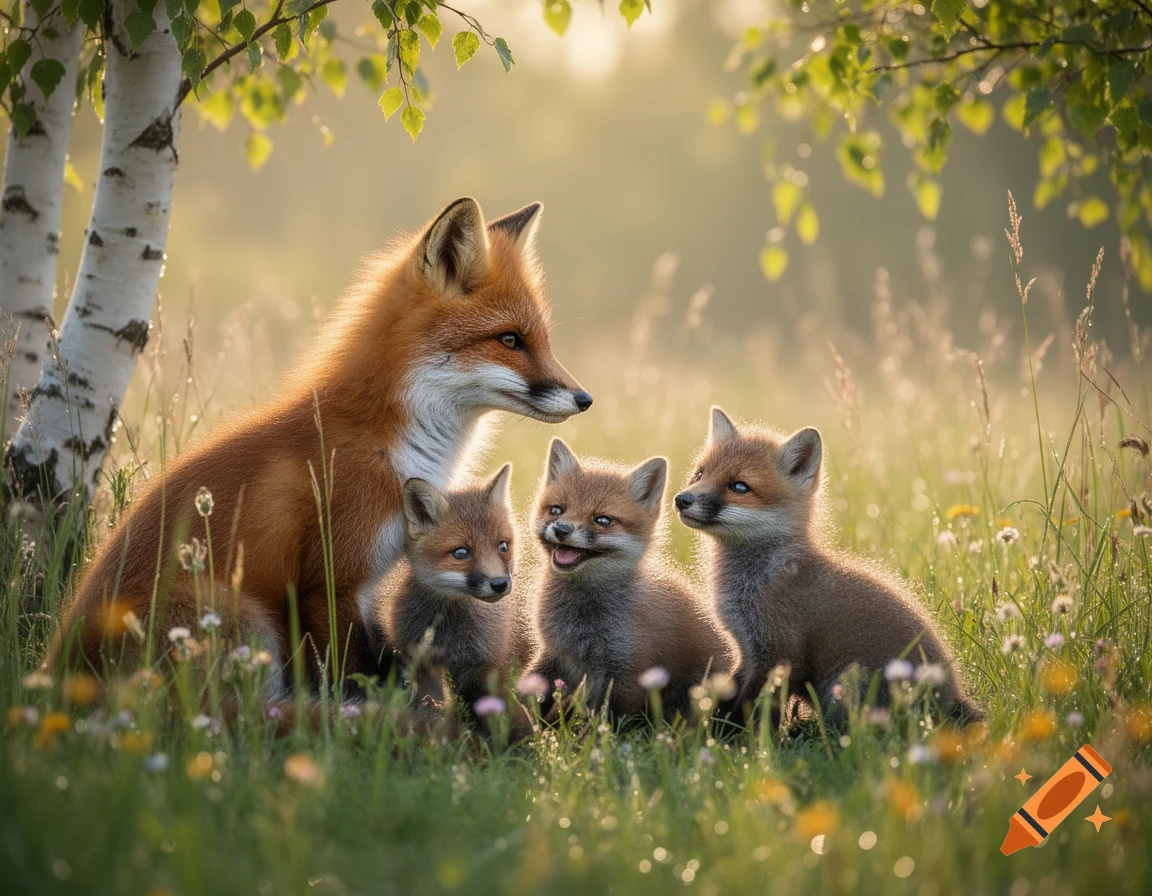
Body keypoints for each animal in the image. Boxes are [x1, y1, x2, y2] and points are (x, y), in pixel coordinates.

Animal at [381, 464, 517, 713]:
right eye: (461, 552)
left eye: (503, 546)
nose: (500, 584)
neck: (448, 630)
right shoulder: (414, 656)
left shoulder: (480, 663)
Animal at [526, 438, 733, 721]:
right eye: (556, 510)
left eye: (602, 520)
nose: (561, 529)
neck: (579, 619)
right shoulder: (555, 653)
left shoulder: (626, 670)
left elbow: (603, 721)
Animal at [674, 407, 982, 726]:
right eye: (700, 473)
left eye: (738, 486)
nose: (681, 500)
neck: (756, 578)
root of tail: (953, 696)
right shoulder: (746, 651)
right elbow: (732, 693)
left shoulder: (778, 652)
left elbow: (750, 708)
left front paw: (729, 733)